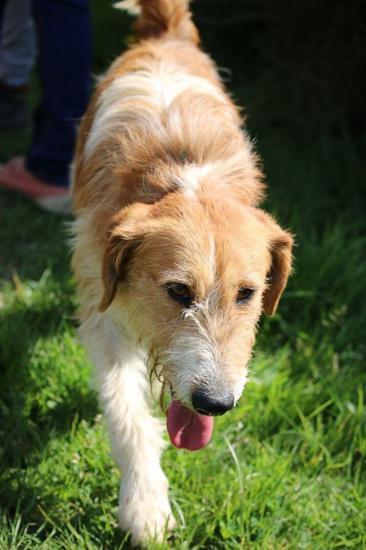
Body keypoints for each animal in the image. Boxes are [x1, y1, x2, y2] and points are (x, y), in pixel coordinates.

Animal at [71, 0, 294, 544]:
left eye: (247, 294)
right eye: (176, 290)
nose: (215, 402)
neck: (183, 177)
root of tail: (166, 34)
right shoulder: (102, 312)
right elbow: (126, 413)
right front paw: (146, 506)